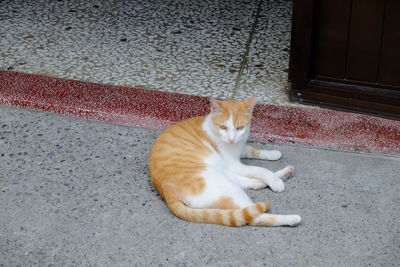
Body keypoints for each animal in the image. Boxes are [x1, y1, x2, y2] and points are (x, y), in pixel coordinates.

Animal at [148, 97, 302, 227]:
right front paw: (274, 181)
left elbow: (252, 150)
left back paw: (284, 174)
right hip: (224, 186)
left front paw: (273, 154)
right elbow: (260, 169)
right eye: (223, 127)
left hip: (224, 176)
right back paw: (291, 217)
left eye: (239, 128)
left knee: (250, 183)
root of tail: (166, 192)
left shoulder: (239, 148)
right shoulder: (234, 164)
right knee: (253, 217)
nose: (231, 138)